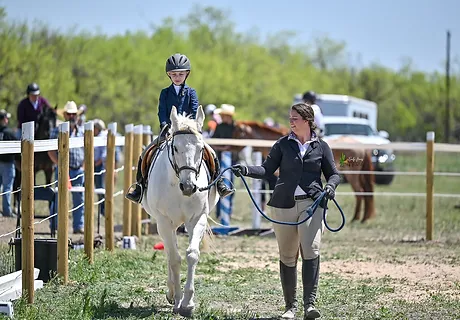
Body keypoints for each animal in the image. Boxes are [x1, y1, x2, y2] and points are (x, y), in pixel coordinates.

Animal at [141, 105, 218, 318]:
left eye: (201, 148)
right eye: (175, 148)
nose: (189, 187)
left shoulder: (197, 218)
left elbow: (191, 254)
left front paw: (187, 303)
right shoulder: (164, 221)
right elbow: (175, 259)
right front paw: (176, 301)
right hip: (165, 225)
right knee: (170, 253)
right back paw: (170, 292)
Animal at [232, 121, 376, 221]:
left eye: (238, 133)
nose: (230, 147)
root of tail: (362, 146)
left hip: (352, 174)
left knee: (360, 192)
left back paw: (357, 218)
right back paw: (363, 218)